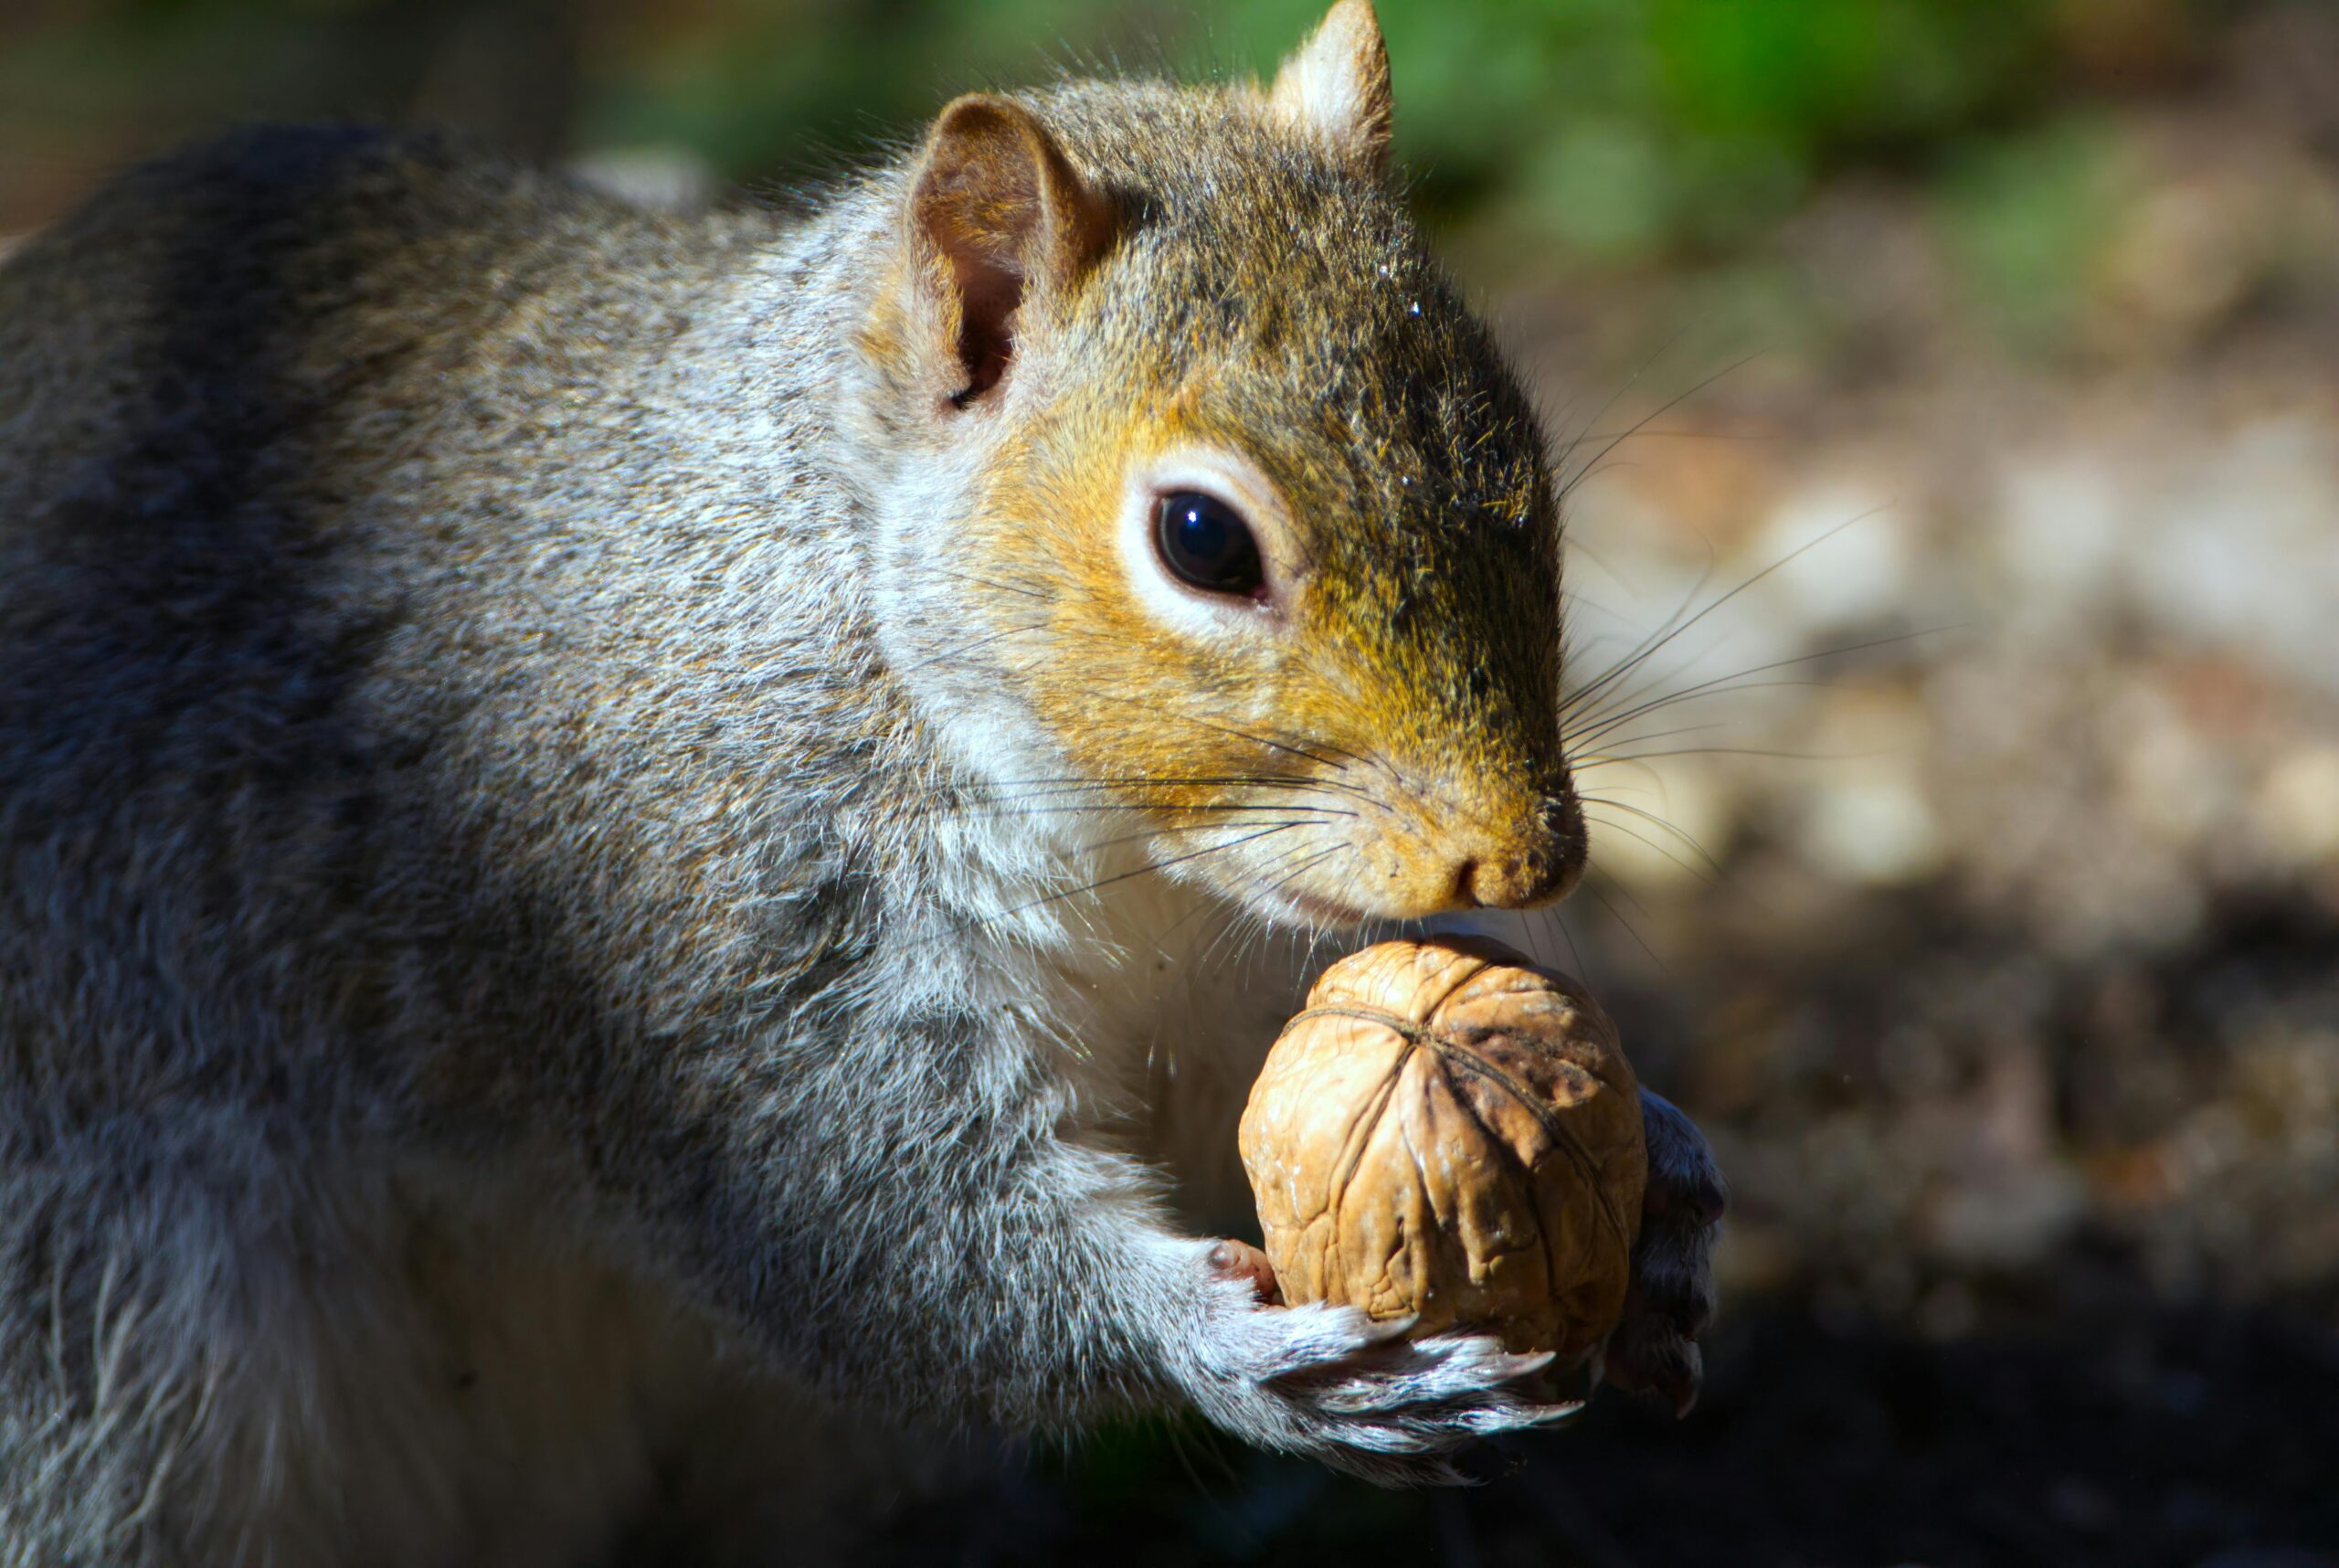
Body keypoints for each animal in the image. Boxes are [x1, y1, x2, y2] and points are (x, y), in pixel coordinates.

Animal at [0, 4, 1725, 1562]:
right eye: (1202, 540)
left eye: (1518, 460)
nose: (1530, 861)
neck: (1118, 865)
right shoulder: (686, 929)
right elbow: (875, 1230)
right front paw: (1219, 1349)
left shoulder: (1215, 989)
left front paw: (1662, 1178)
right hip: (104, 1341)